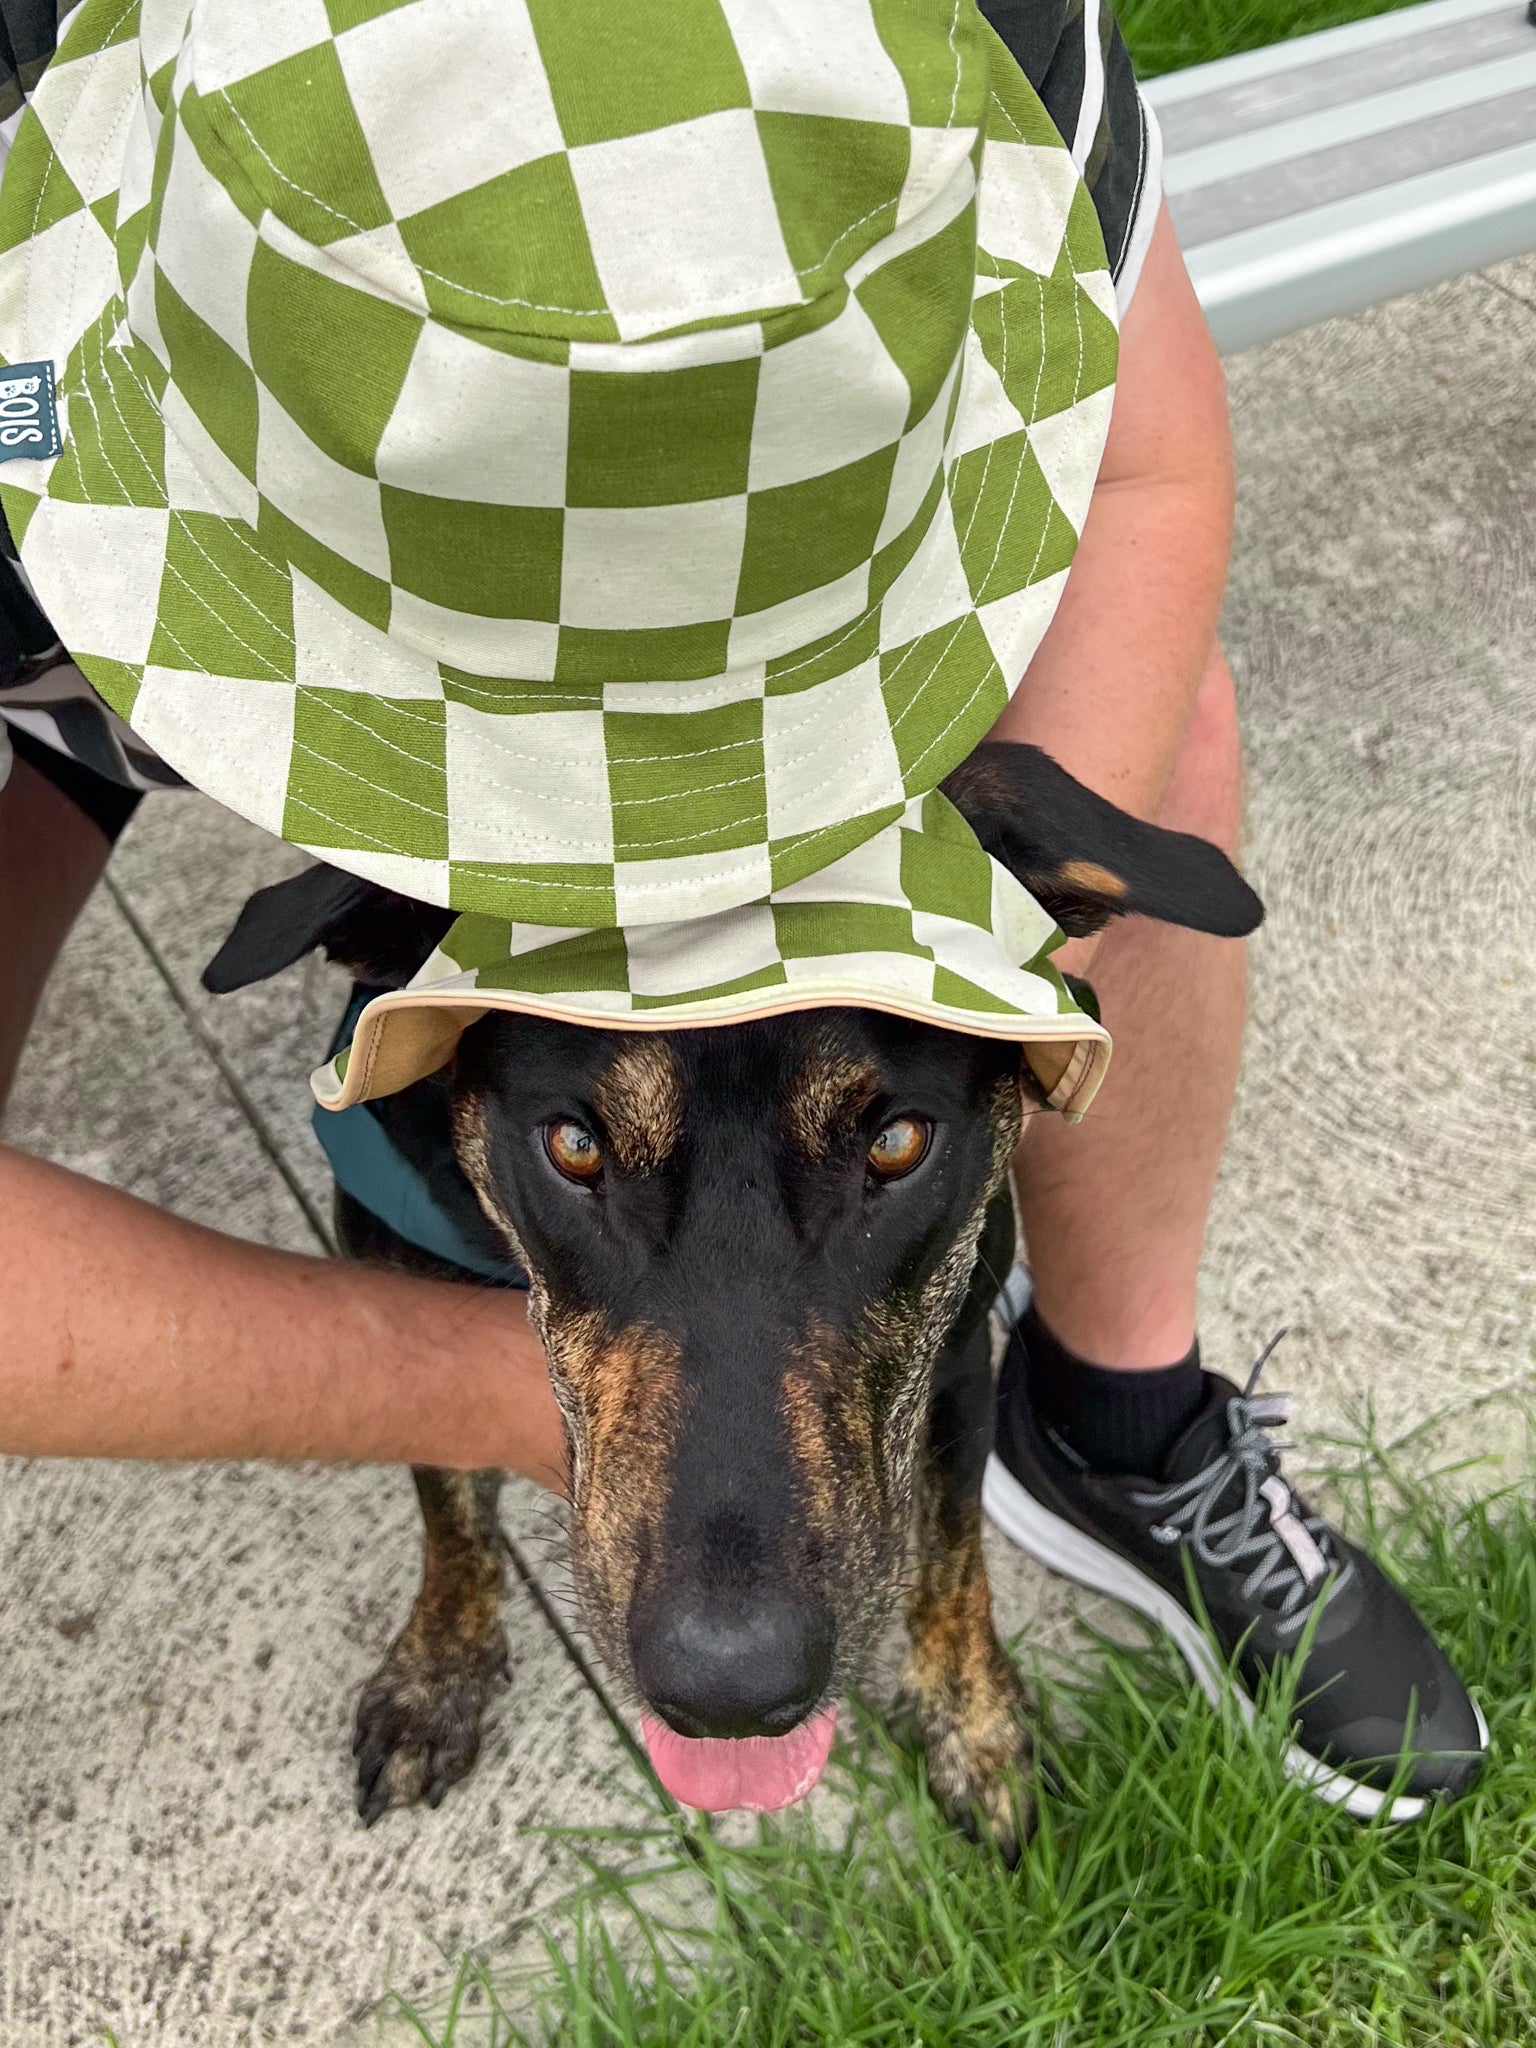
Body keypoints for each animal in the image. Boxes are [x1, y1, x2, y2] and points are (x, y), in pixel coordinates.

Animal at [204, 741, 1261, 1859]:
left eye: (899, 1142)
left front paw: (972, 1724)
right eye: (574, 1144)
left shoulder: (957, 1352)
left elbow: (952, 1553)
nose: (730, 1691)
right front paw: (435, 1671)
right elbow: (447, 1509)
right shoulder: (403, 1297)